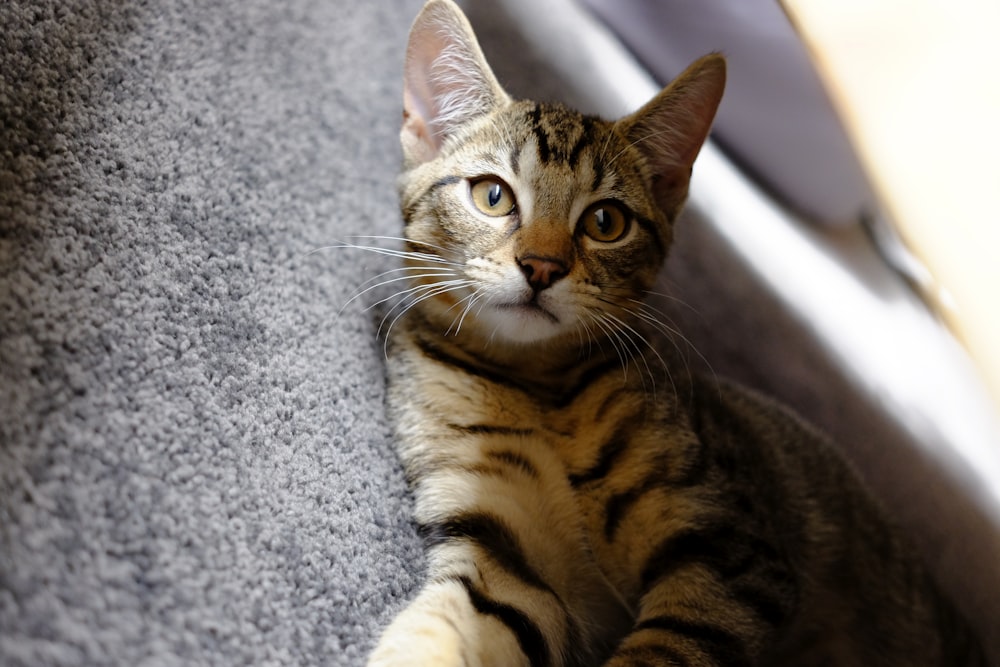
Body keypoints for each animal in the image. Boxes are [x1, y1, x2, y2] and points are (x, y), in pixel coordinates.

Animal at [362, 2, 984, 664]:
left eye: (605, 222)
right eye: (492, 195)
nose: (542, 266)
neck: (536, 387)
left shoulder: (732, 555)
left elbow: (662, 650)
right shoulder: (505, 554)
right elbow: (454, 625)